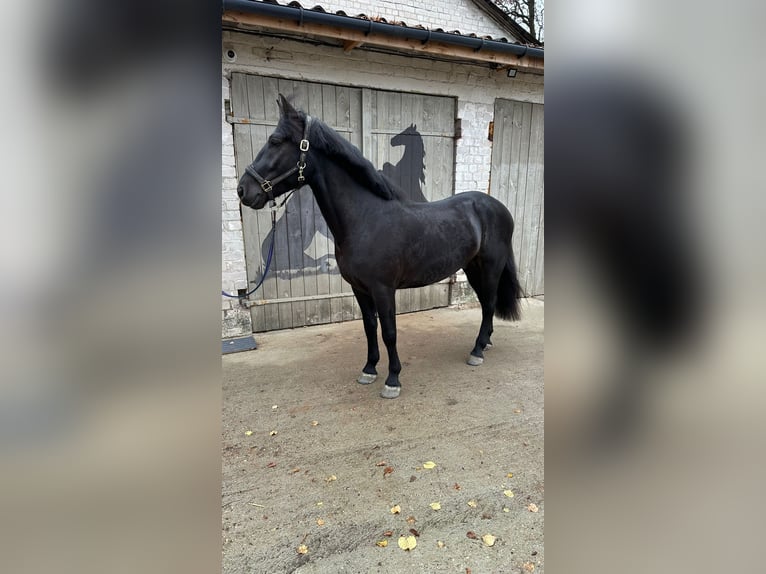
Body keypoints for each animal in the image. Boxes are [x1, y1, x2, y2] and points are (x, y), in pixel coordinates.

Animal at [237, 95, 524, 400]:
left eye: (276, 140)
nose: (243, 190)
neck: (365, 218)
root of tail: (498, 207)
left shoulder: (383, 289)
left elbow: (389, 332)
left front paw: (393, 379)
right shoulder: (360, 289)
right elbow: (369, 327)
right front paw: (369, 369)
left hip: (490, 268)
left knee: (489, 303)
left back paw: (477, 351)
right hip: (472, 268)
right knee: (485, 304)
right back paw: (485, 343)